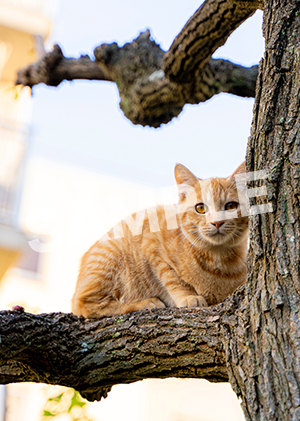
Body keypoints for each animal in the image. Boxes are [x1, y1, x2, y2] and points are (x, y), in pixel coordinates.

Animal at [71, 162, 247, 316]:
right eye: (201, 208)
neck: (218, 259)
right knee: (83, 305)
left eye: (231, 206)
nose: (217, 222)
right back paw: (145, 303)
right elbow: (171, 277)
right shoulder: (151, 241)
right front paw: (188, 296)